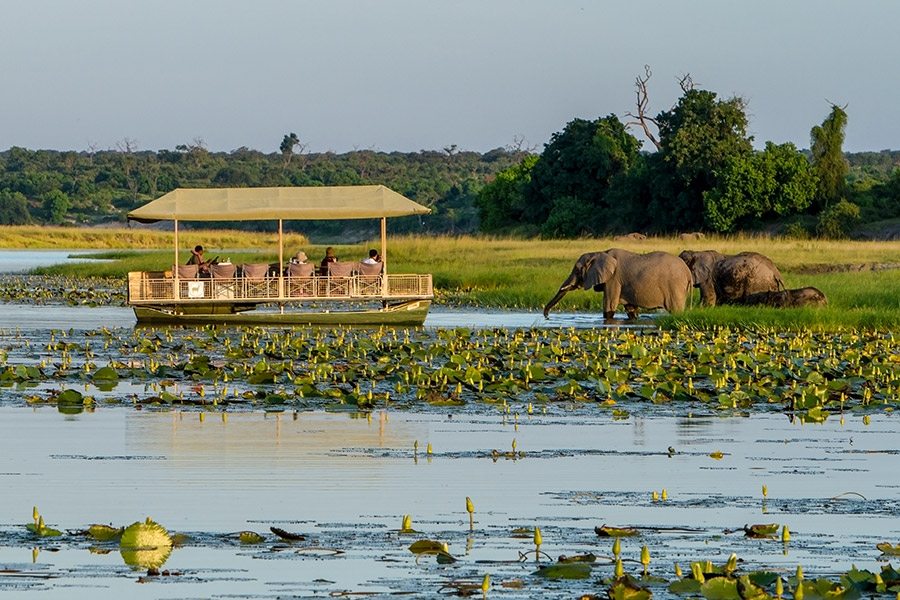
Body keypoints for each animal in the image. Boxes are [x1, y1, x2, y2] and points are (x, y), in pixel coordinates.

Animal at [540, 248, 696, 322]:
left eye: (578, 270)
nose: (546, 316)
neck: (600, 253)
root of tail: (688, 273)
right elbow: (631, 309)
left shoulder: (614, 279)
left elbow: (609, 306)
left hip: (675, 286)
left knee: (676, 310)